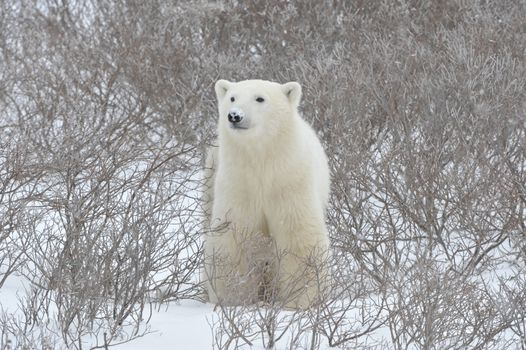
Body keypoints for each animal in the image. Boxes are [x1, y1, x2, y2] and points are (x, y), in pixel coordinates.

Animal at [205, 79, 332, 308]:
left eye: (259, 98)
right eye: (232, 98)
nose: (234, 115)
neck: (261, 159)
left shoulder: (289, 180)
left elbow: (297, 235)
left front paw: (302, 299)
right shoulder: (238, 183)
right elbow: (233, 236)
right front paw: (233, 298)